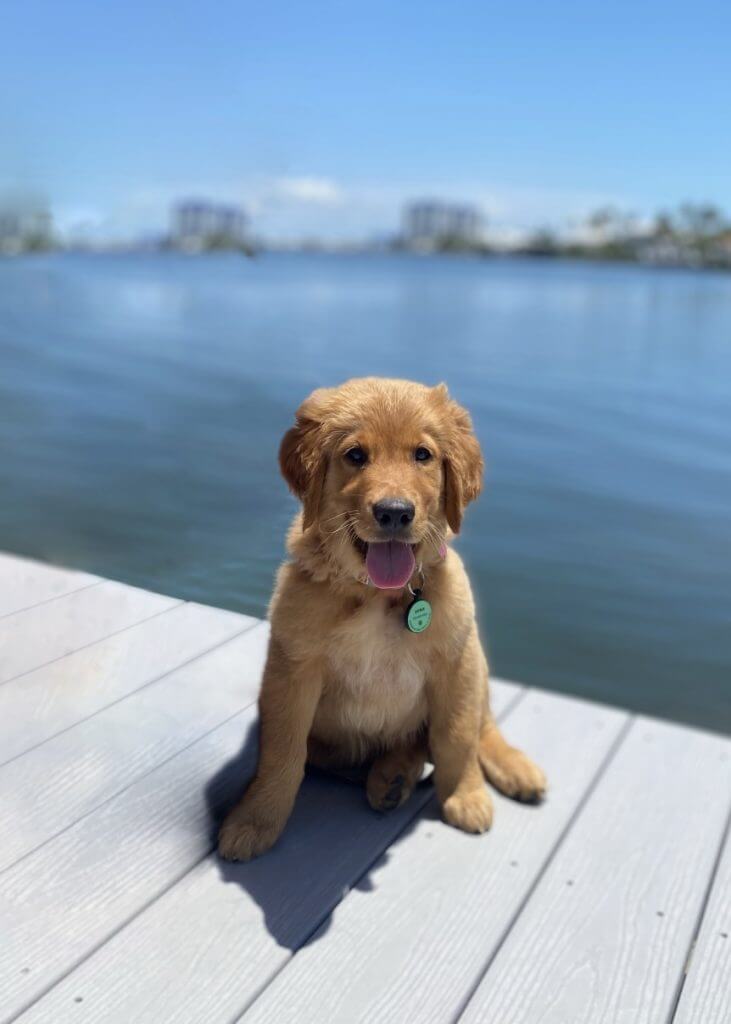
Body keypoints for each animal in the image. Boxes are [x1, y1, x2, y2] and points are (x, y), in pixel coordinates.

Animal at [219, 374, 544, 856]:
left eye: (423, 455)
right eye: (356, 455)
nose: (394, 512)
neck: (377, 594)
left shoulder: (456, 662)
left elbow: (456, 736)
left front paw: (465, 796)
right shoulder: (292, 669)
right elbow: (283, 751)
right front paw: (256, 820)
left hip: (477, 663)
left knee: (481, 726)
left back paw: (512, 768)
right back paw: (392, 777)